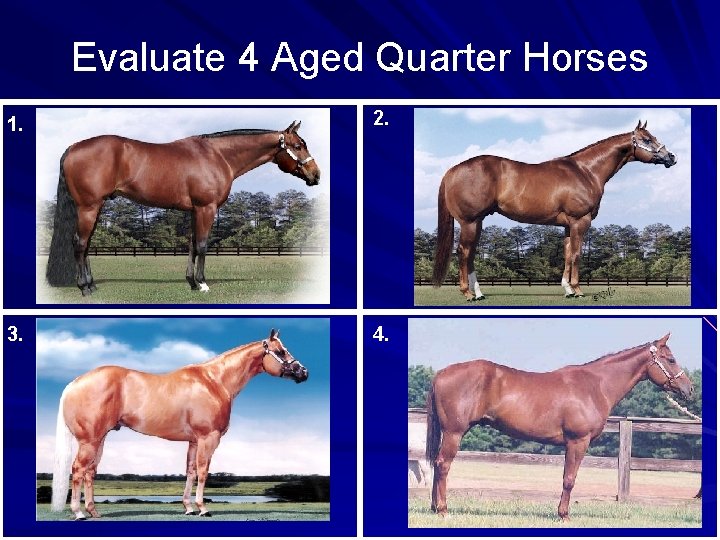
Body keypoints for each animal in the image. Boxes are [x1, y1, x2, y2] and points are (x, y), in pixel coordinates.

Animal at [45, 121, 320, 296]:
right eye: (298, 146)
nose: (316, 175)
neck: (218, 156)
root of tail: (72, 148)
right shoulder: (206, 208)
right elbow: (202, 245)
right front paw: (203, 284)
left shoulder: (194, 210)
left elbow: (191, 245)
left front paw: (191, 283)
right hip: (89, 207)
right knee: (80, 243)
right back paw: (84, 288)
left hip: (95, 207)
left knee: (86, 245)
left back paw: (92, 285)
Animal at [50, 328, 308, 520]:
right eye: (280, 351)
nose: (303, 372)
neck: (215, 381)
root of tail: (74, 383)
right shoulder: (208, 438)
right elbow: (204, 471)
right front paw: (203, 508)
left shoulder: (194, 441)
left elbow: (191, 471)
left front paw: (188, 508)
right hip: (89, 441)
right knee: (78, 470)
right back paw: (78, 513)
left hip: (99, 439)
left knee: (90, 473)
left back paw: (94, 511)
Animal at [425, 333, 693, 521]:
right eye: (671, 359)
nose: (689, 389)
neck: (596, 385)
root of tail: (441, 373)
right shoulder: (577, 441)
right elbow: (569, 479)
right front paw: (563, 515)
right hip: (454, 433)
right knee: (443, 465)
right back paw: (443, 510)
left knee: (438, 465)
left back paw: (434, 508)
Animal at [432, 121, 677, 301]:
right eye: (647, 139)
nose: (671, 157)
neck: (586, 171)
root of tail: (453, 170)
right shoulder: (580, 221)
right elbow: (577, 254)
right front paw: (578, 290)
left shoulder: (568, 225)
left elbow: (568, 254)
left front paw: (567, 290)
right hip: (469, 222)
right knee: (463, 253)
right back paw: (467, 294)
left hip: (477, 222)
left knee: (471, 254)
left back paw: (479, 293)